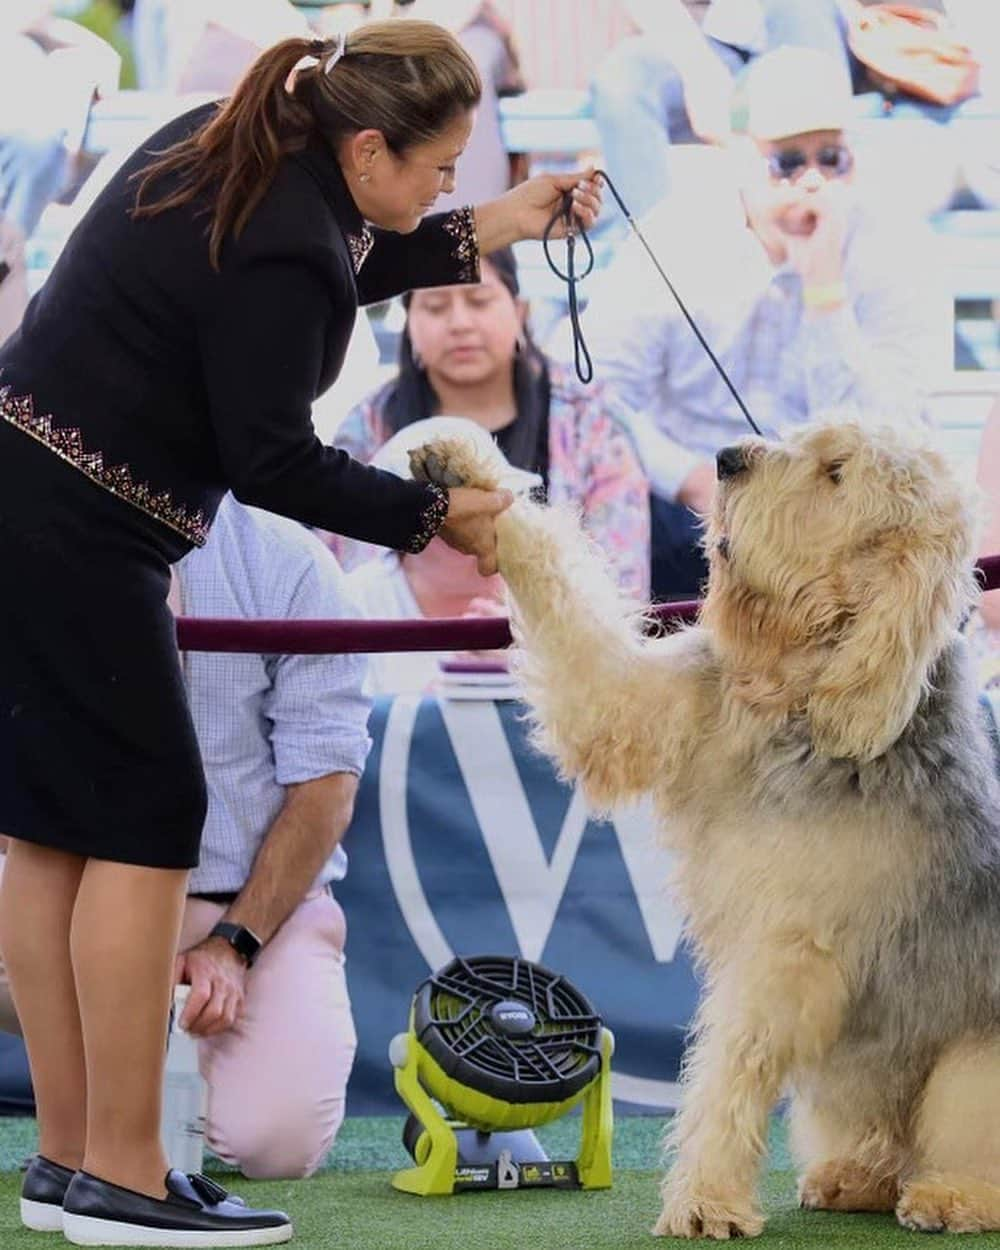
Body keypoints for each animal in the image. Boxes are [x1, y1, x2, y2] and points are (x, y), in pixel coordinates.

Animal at [410, 422, 1000, 1240]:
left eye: (836, 473)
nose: (728, 459)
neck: (798, 687)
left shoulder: (784, 953)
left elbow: (729, 1072)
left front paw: (704, 1200)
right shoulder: (632, 700)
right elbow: (555, 578)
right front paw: (463, 464)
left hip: (970, 1067)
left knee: (959, 1148)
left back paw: (949, 1197)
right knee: (878, 1146)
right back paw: (854, 1177)